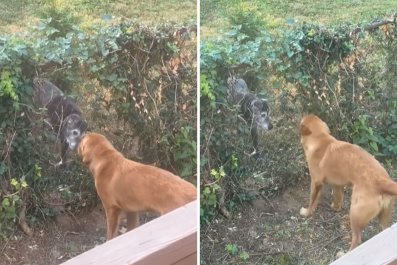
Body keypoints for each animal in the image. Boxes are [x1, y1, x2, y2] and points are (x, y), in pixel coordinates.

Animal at [300, 113, 396, 250]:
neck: (321, 139)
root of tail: (383, 181)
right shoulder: (337, 185)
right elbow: (337, 199)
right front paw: (335, 208)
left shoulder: (316, 182)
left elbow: (312, 201)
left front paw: (307, 213)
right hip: (384, 217)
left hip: (355, 213)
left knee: (357, 239)